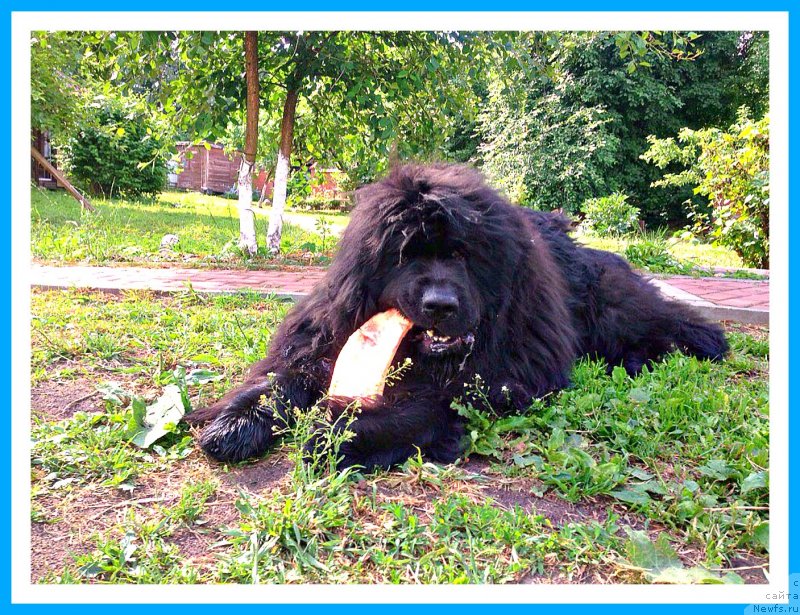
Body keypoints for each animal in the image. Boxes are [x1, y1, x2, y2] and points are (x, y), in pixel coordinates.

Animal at [191, 162, 728, 466]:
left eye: (465, 256)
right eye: (404, 255)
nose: (439, 304)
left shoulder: (512, 370)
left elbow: (429, 402)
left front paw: (342, 432)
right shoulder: (324, 335)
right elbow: (282, 378)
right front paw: (235, 424)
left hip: (611, 306)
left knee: (666, 323)